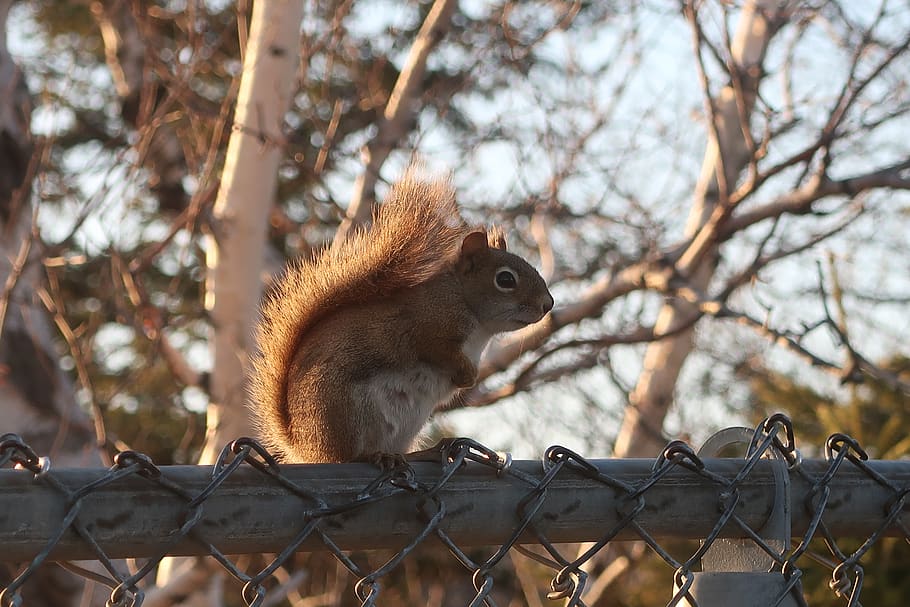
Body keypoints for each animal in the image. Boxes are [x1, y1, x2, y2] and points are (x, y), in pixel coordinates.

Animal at [249, 169, 554, 463]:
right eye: (505, 279)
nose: (548, 304)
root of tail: (304, 446)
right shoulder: (428, 326)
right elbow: (435, 349)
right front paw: (467, 376)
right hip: (345, 413)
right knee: (347, 457)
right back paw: (374, 455)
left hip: (407, 425)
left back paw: (426, 452)